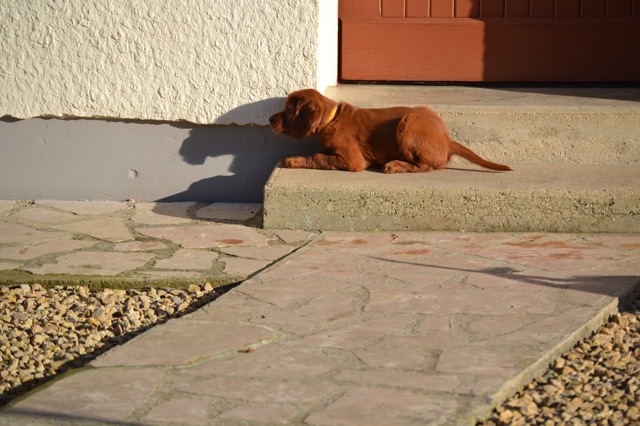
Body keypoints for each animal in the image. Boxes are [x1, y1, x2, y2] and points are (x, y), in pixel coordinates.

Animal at [268, 88, 512, 173]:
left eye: (289, 109)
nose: (269, 119)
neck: (332, 118)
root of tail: (447, 139)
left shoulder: (352, 160)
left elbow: (318, 157)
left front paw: (291, 160)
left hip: (408, 123)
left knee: (425, 167)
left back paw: (395, 165)